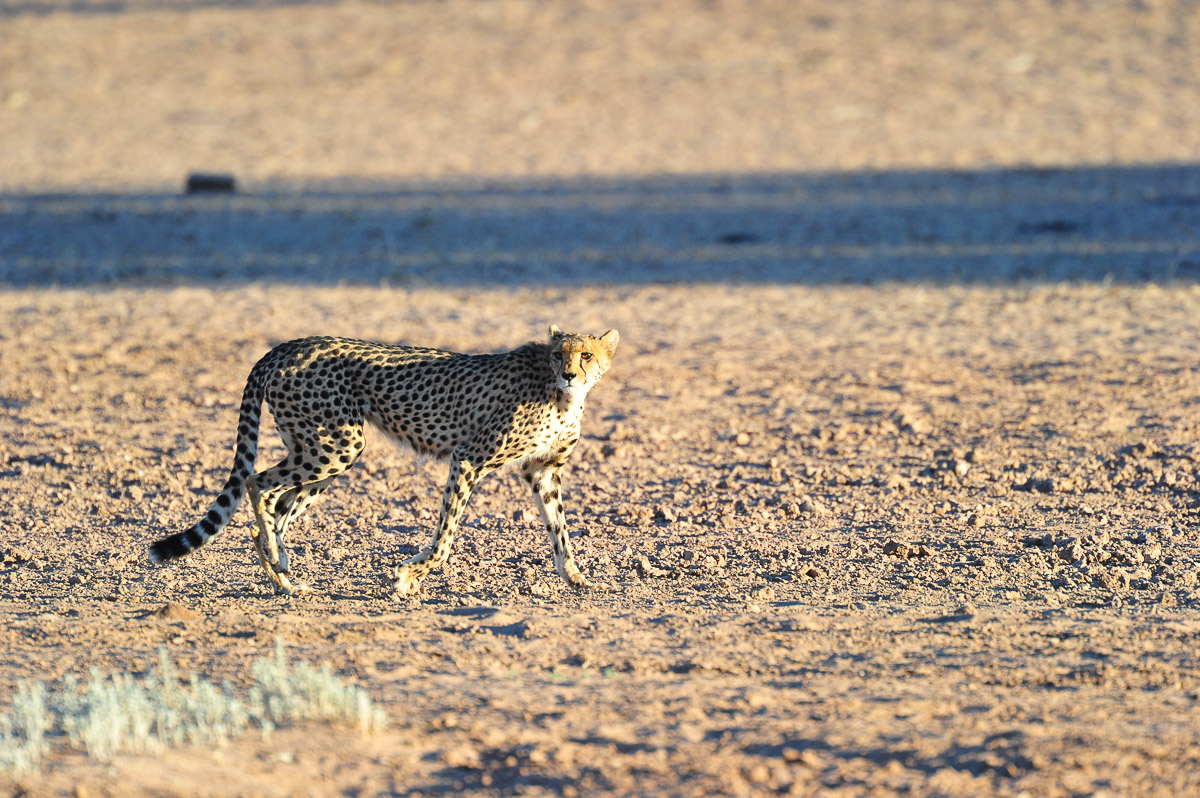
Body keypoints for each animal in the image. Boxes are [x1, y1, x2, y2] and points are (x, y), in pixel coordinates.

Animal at [149, 324, 619, 598]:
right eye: (559, 355)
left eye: (586, 355)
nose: (570, 373)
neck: (560, 393)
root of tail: (286, 346)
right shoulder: (468, 458)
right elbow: (444, 539)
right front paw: (407, 578)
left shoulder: (542, 471)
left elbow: (560, 531)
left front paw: (576, 578)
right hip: (336, 446)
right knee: (257, 484)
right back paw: (279, 568)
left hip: (319, 451)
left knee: (275, 506)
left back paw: (281, 576)